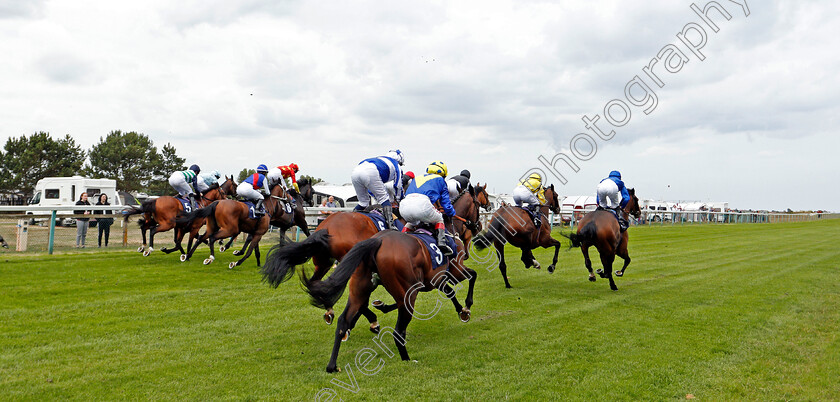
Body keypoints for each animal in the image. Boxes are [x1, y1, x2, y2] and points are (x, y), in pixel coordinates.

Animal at [302, 229, 476, 374]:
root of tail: (377, 241)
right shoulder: (454, 271)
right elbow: (472, 276)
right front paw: (466, 307)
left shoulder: (437, 280)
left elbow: (450, 291)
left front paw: (461, 310)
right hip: (408, 292)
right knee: (398, 330)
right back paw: (407, 359)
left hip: (359, 290)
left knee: (344, 319)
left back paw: (332, 365)